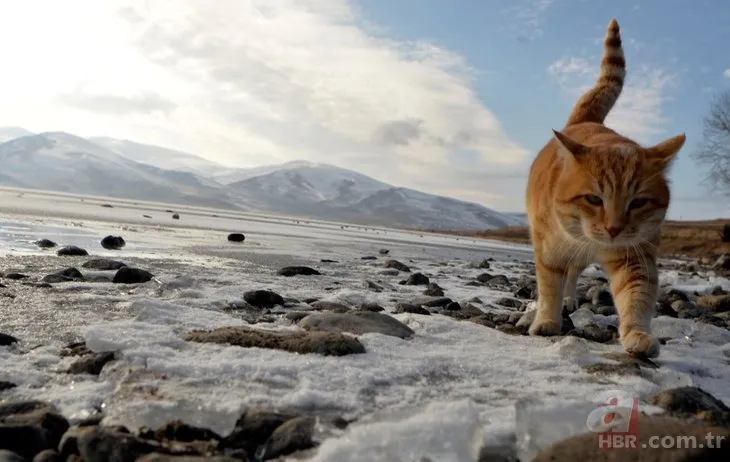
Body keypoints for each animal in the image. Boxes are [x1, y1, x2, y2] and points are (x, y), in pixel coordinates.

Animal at [524, 18, 684, 358]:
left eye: (637, 203)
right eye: (593, 199)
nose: (613, 229)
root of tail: (586, 121)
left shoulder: (635, 256)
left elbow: (636, 297)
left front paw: (637, 335)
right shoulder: (548, 250)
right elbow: (549, 287)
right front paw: (547, 320)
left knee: (574, 274)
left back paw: (572, 298)